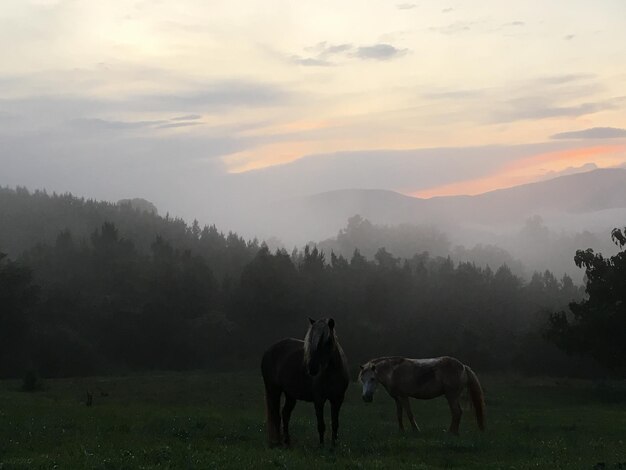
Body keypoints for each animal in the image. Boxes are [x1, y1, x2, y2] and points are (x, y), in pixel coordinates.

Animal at [258, 318, 346, 446]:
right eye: (310, 340)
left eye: (328, 340)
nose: (312, 368)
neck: (332, 374)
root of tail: (268, 351)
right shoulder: (319, 400)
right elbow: (321, 425)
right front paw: (321, 446)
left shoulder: (337, 400)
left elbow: (335, 424)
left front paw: (333, 446)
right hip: (274, 390)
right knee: (276, 416)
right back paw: (279, 442)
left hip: (290, 395)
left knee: (285, 414)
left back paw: (287, 442)